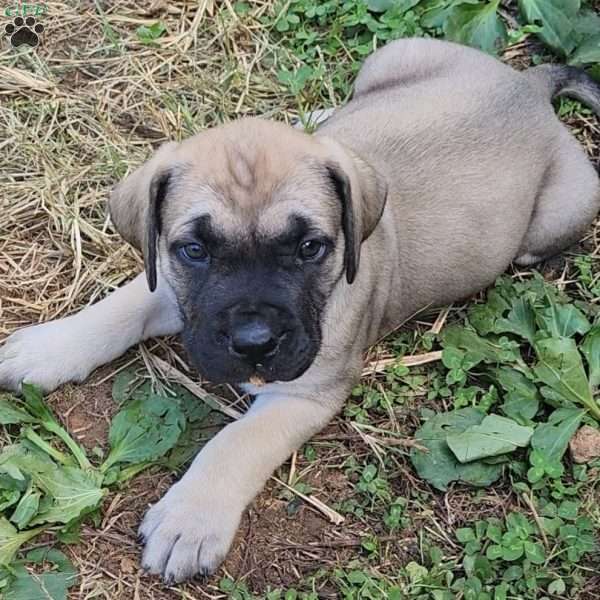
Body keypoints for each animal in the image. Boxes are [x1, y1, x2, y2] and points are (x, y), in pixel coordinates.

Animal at [1, 39, 600, 584]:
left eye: (310, 248)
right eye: (194, 251)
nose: (253, 342)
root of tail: (529, 86)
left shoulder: (303, 394)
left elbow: (234, 442)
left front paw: (189, 518)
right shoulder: (170, 283)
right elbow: (120, 307)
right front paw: (47, 349)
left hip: (562, 210)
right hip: (392, 55)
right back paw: (315, 120)